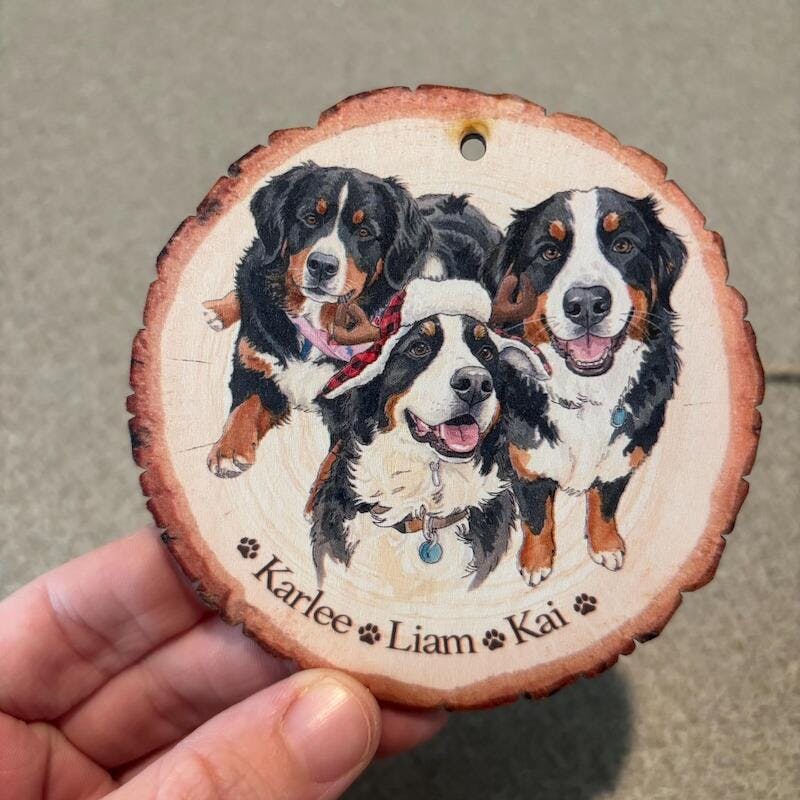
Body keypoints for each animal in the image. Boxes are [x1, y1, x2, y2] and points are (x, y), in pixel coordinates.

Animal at [203, 163, 501, 478]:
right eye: (310, 218)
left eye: (365, 232)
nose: (322, 265)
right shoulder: (255, 363)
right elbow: (244, 406)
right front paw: (228, 451)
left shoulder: (352, 407)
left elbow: (334, 462)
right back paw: (218, 309)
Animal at [484, 188, 686, 585]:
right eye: (549, 252)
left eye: (623, 245)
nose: (588, 302)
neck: (587, 396)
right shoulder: (527, 466)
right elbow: (537, 520)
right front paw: (536, 563)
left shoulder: (622, 459)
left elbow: (604, 506)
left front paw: (606, 546)